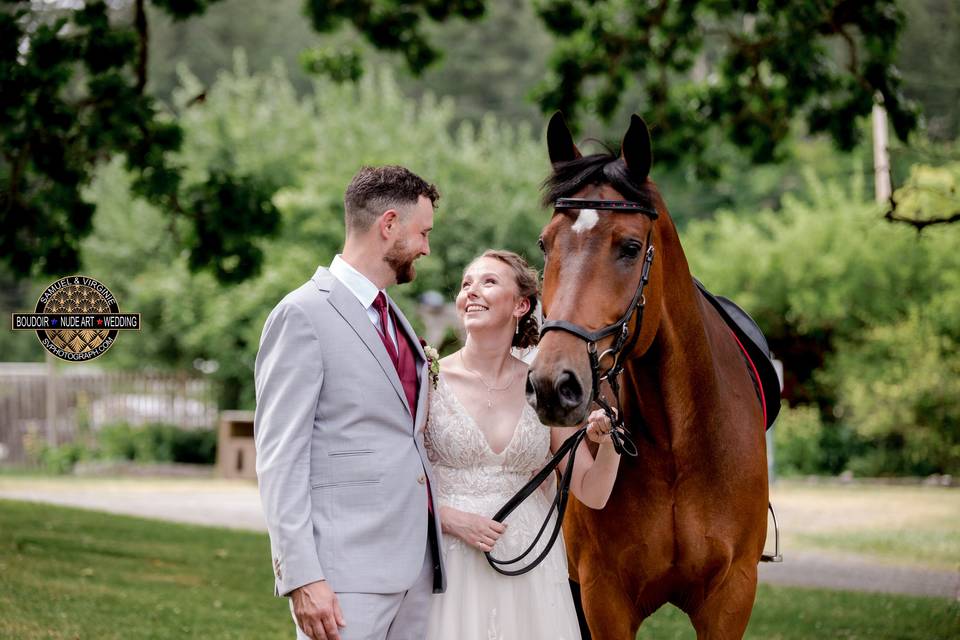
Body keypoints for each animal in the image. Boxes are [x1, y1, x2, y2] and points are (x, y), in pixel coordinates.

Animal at [526, 113, 769, 639]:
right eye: (545, 243)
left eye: (631, 246)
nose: (554, 385)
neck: (678, 443)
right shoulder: (603, 595)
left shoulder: (732, 594)